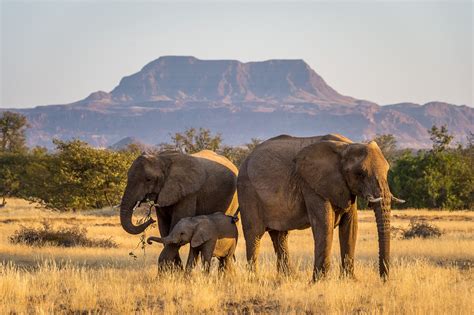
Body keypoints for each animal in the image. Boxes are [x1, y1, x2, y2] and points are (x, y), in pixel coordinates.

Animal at [237, 135, 404, 280]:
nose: (383, 280)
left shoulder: (346, 187)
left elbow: (350, 227)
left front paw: (349, 281)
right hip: (248, 192)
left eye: (388, 170)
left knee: (280, 236)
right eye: (360, 173)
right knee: (254, 234)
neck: (345, 146)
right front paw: (318, 282)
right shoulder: (311, 185)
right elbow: (324, 225)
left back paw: (287, 278)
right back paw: (254, 280)